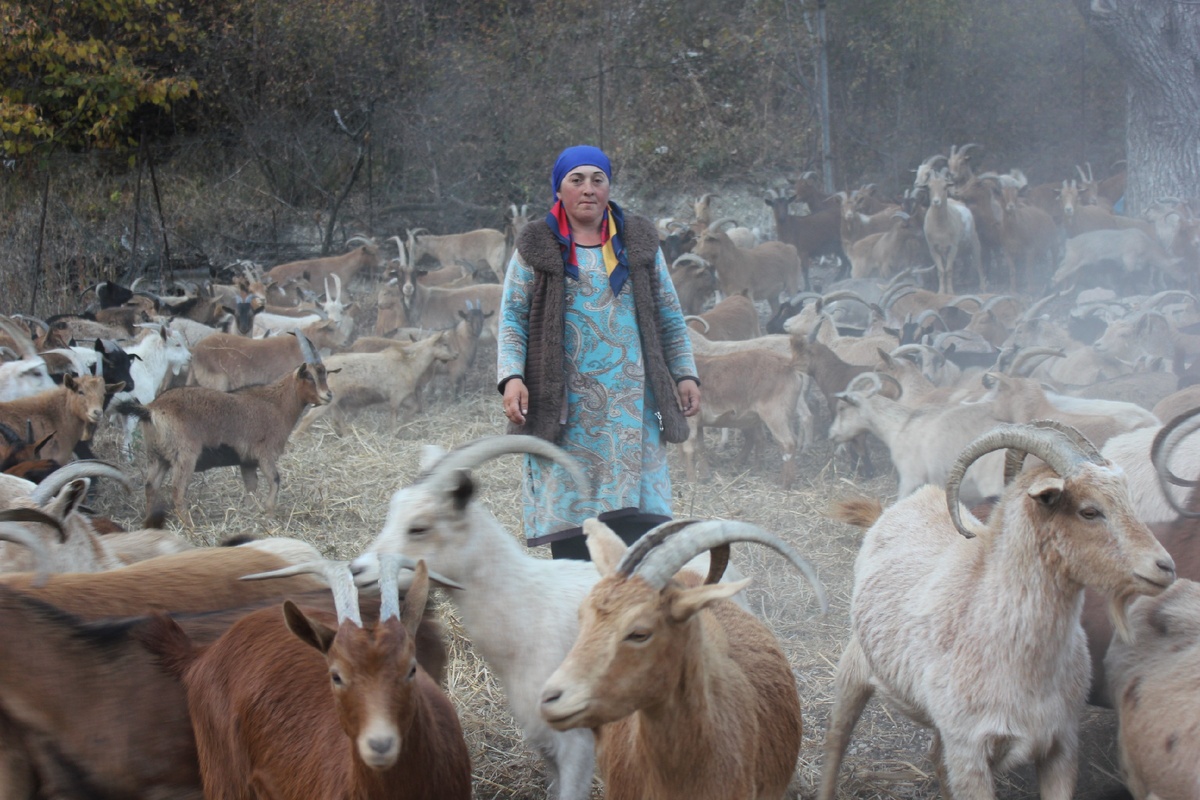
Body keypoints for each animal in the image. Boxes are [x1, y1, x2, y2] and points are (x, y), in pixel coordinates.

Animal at [120, 335, 333, 515]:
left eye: (324, 374)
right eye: (309, 376)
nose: (328, 395)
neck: (276, 403)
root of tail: (151, 409)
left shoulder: (247, 461)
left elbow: (251, 487)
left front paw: (250, 512)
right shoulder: (264, 454)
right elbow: (274, 480)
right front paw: (269, 513)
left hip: (157, 457)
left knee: (151, 486)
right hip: (185, 456)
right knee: (177, 491)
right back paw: (190, 527)